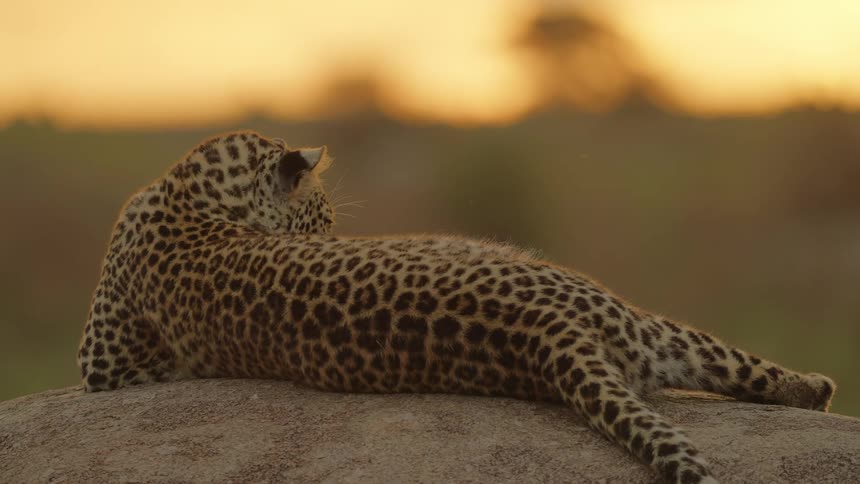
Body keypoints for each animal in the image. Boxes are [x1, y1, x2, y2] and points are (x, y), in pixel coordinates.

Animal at [77, 131, 836, 484]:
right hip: (649, 324)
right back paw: (819, 386)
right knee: (761, 376)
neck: (186, 191)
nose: (328, 232)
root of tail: (547, 336)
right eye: (321, 219)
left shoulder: (103, 363)